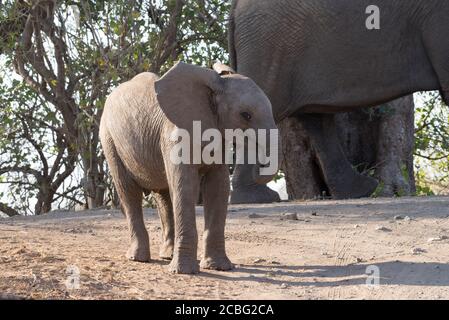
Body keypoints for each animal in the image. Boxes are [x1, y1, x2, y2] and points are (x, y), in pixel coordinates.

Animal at [100, 62, 278, 276]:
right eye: (246, 115)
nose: (259, 166)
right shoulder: (175, 136)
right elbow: (185, 186)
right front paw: (183, 271)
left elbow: (218, 187)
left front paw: (219, 267)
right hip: (109, 140)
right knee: (129, 191)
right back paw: (138, 258)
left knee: (164, 196)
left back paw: (166, 255)